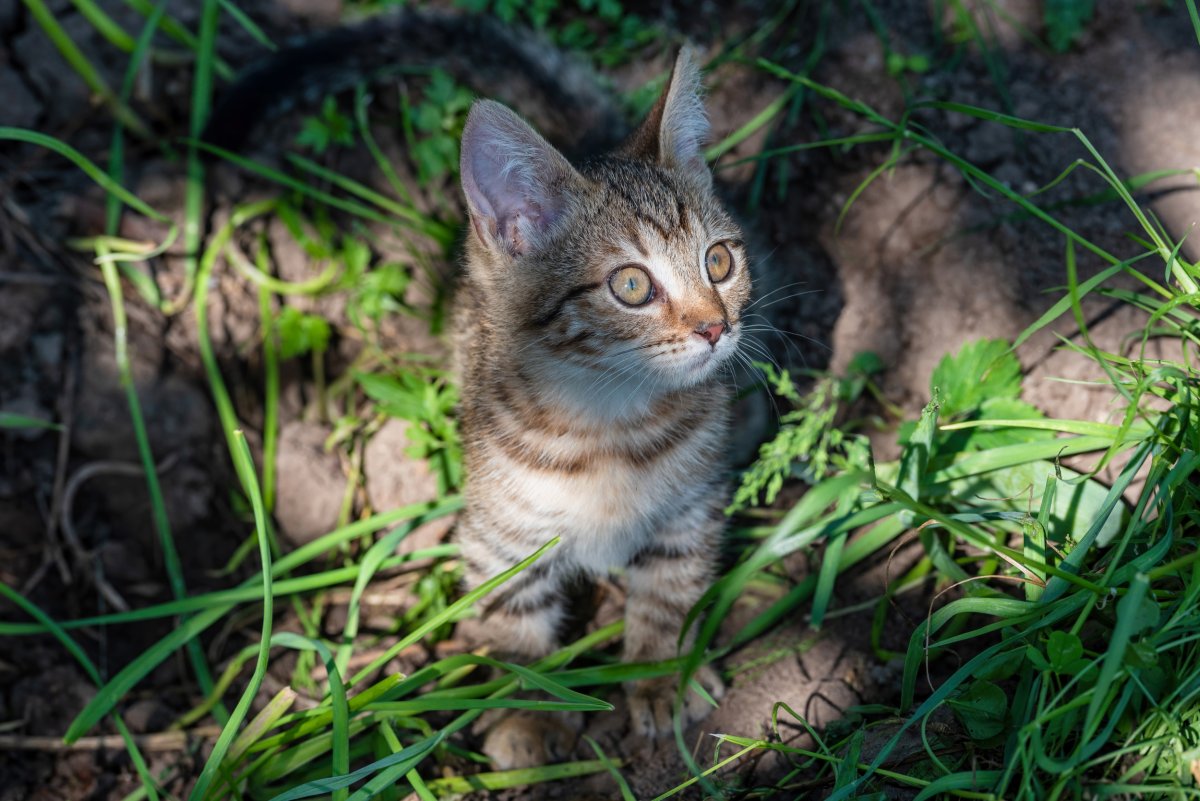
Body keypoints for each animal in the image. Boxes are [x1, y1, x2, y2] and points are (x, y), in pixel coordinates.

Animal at [451, 50, 748, 767]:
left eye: (719, 260)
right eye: (632, 285)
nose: (715, 327)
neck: (609, 422)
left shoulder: (693, 505)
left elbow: (670, 590)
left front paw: (660, 674)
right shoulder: (497, 536)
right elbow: (511, 620)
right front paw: (529, 713)